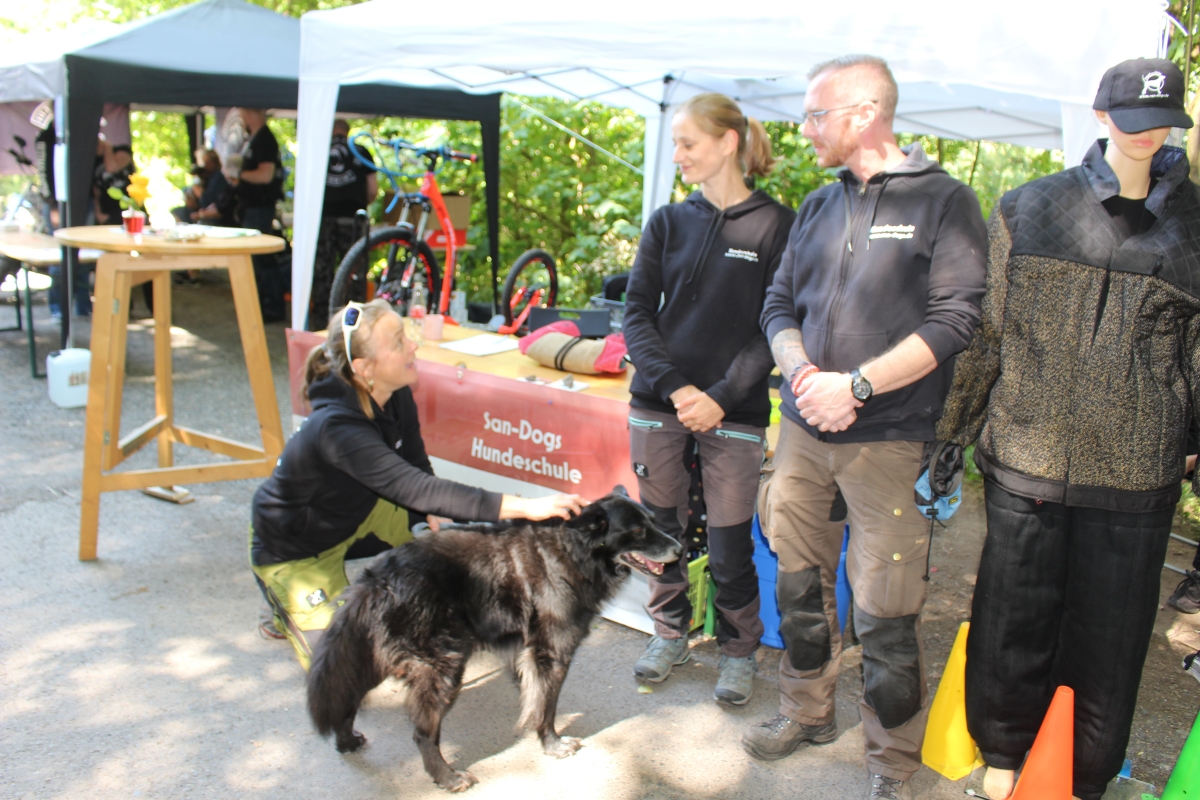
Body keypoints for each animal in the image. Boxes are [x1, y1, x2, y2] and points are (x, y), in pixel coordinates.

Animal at [304, 491, 681, 791]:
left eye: (652, 521)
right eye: (637, 531)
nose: (680, 548)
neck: (571, 551)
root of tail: (378, 578)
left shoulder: (526, 653)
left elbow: (532, 696)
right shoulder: (552, 652)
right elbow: (546, 705)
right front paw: (552, 744)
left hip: (383, 655)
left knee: (348, 695)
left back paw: (345, 740)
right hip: (443, 666)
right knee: (422, 732)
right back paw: (446, 776)